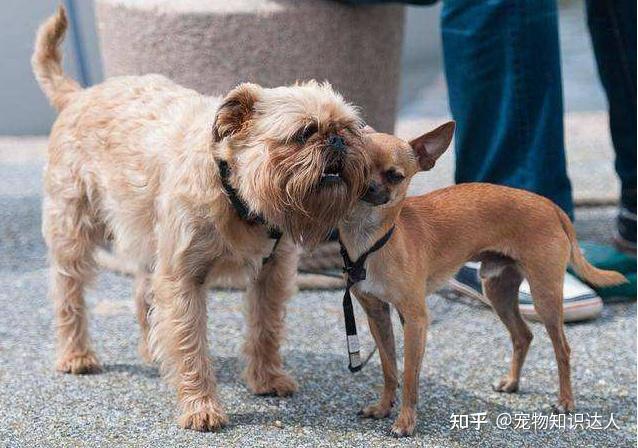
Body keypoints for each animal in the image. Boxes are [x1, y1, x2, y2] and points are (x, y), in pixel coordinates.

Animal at [33, 5, 370, 428]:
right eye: (305, 133)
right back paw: (76, 354)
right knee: (68, 290)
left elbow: (265, 328)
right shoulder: (183, 278)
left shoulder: (273, 273)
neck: (235, 191)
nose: (338, 140)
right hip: (73, 229)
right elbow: (190, 342)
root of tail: (79, 95)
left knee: (143, 291)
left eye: (350, 129)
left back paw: (153, 351)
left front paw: (266, 378)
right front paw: (201, 406)